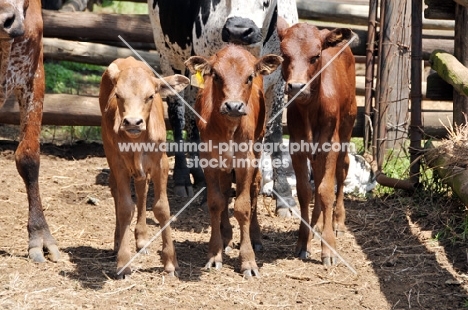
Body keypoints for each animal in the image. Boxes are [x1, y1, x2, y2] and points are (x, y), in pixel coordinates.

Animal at [98, 56, 188, 278]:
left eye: (150, 96)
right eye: (118, 95)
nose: (132, 122)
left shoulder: (161, 163)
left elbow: (162, 208)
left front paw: (170, 261)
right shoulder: (118, 163)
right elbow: (124, 208)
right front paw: (123, 261)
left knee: (141, 189)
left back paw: (142, 238)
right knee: (117, 190)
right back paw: (118, 240)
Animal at [148, 0, 298, 216]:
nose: (238, 30)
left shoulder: (277, 81)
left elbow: (275, 137)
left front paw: (284, 197)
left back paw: (200, 175)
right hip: (168, 56)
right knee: (178, 116)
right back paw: (183, 178)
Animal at [186, 44, 282, 278]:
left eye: (249, 77)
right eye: (216, 76)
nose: (234, 106)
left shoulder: (245, 161)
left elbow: (243, 206)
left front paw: (248, 260)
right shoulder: (209, 159)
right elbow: (216, 202)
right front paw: (215, 253)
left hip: (257, 148)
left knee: (255, 188)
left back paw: (255, 237)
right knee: (223, 191)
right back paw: (227, 237)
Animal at [278, 21, 358, 266]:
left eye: (315, 56)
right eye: (285, 55)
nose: (296, 86)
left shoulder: (330, 145)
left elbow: (326, 191)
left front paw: (329, 248)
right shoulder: (296, 148)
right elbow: (305, 191)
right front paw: (304, 241)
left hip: (346, 129)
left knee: (342, 170)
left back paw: (337, 221)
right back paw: (315, 225)